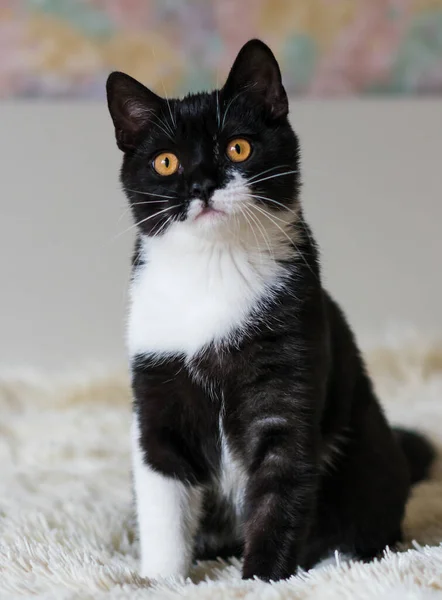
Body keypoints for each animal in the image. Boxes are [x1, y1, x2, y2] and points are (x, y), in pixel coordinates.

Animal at [105, 38, 434, 580]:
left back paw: (343, 557)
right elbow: (162, 491)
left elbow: (282, 488)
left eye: (238, 147)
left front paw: (259, 580)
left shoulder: (286, 378)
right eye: (167, 162)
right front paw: (160, 579)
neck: (212, 272)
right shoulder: (156, 386)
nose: (201, 184)